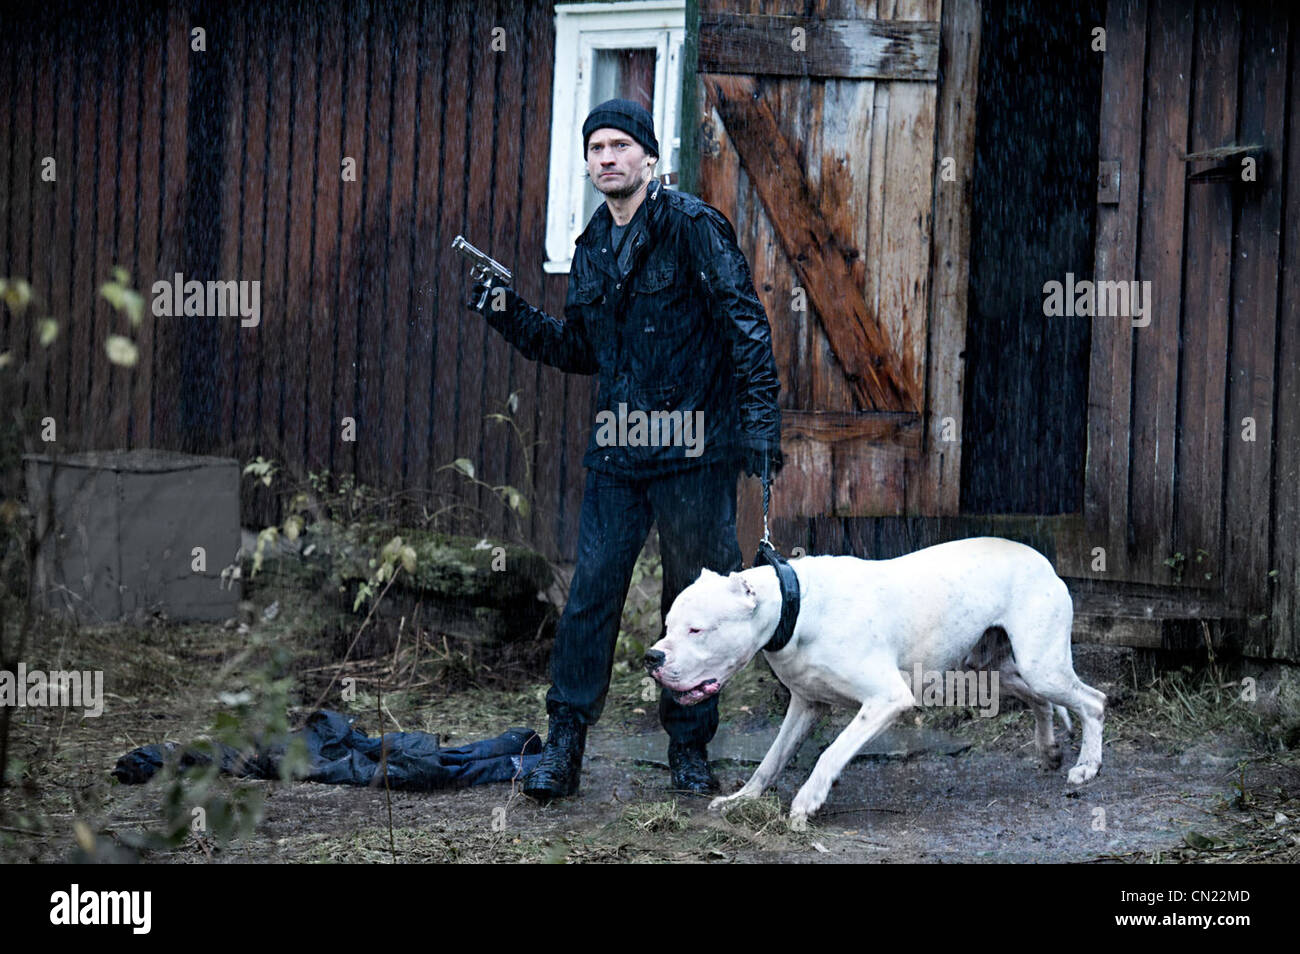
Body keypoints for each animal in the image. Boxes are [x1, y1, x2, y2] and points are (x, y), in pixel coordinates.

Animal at [644, 540, 1102, 826]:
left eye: (697, 630)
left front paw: (807, 801)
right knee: (1042, 700)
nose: (653, 658)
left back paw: (1086, 766)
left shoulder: (886, 699)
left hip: (1041, 666)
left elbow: (829, 753)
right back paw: (1049, 750)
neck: (796, 608)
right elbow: (771, 760)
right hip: (994, 670)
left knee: (1093, 701)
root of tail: (1042, 560)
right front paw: (741, 800)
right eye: (668, 625)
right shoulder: (806, 705)